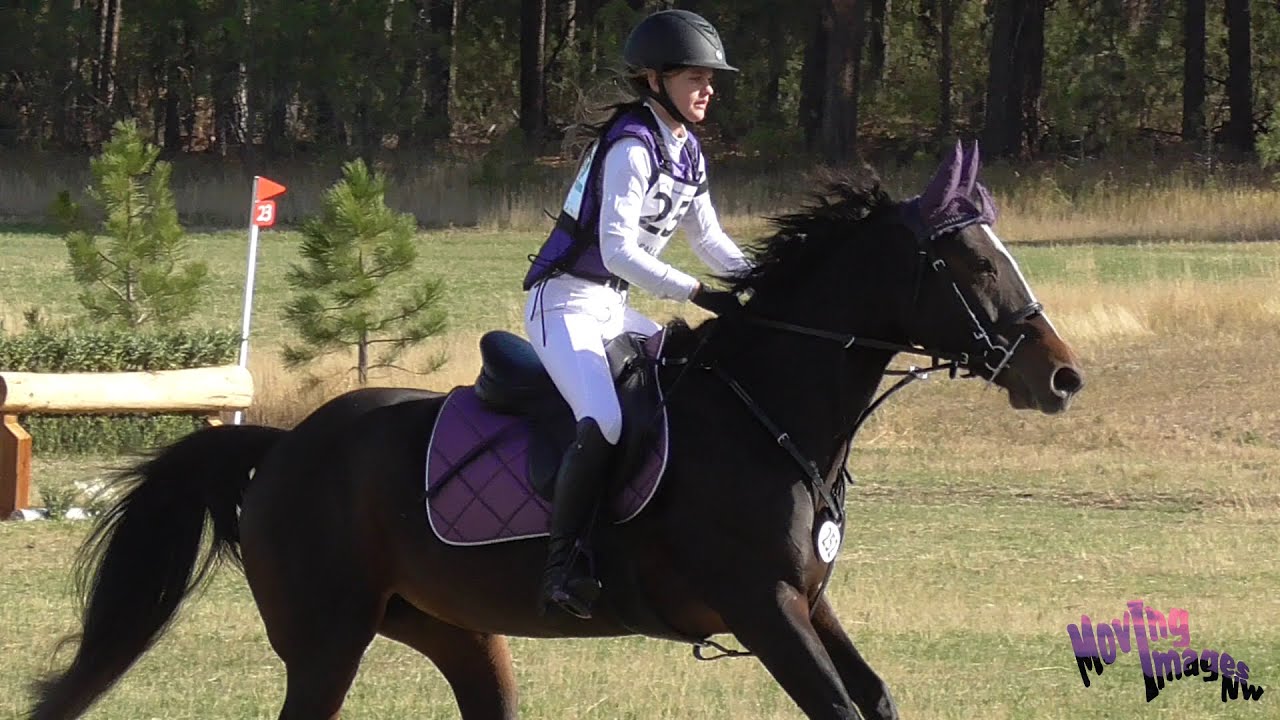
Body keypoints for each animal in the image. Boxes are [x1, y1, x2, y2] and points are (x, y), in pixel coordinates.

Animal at [29, 142, 1083, 720]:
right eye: (970, 264)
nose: (1062, 376)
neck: (768, 415)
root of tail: (283, 446)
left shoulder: (805, 600)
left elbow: (875, 696)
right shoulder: (761, 605)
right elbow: (837, 706)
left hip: (453, 629)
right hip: (327, 640)